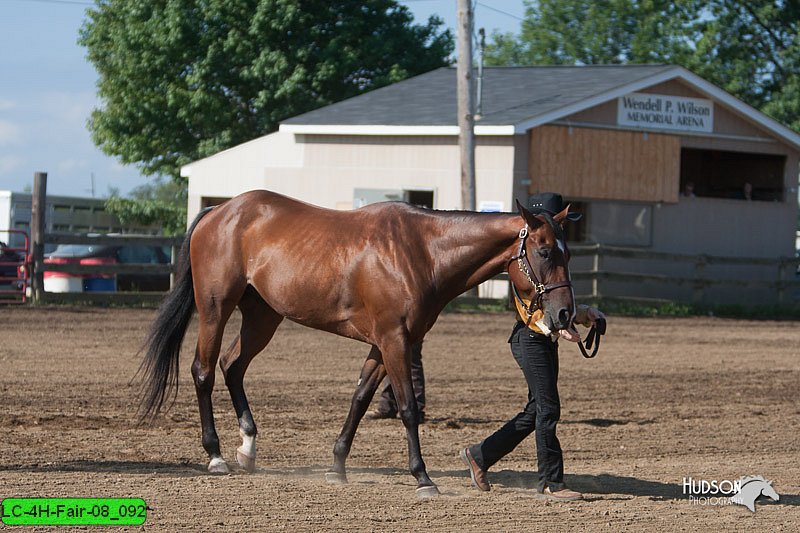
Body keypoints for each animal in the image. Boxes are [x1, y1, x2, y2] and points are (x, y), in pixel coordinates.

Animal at [138, 187, 576, 494]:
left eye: (567, 253)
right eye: (544, 251)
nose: (565, 314)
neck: (422, 250)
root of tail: (220, 211)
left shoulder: (384, 343)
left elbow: (361, 398)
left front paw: (337, 467)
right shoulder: (395, 340)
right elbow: (407, 408)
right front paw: (422, 477)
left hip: (263, 315)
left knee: (232, 366)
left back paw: (247, 448)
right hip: (216, 308)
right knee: (204, 371)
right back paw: (215, 456)